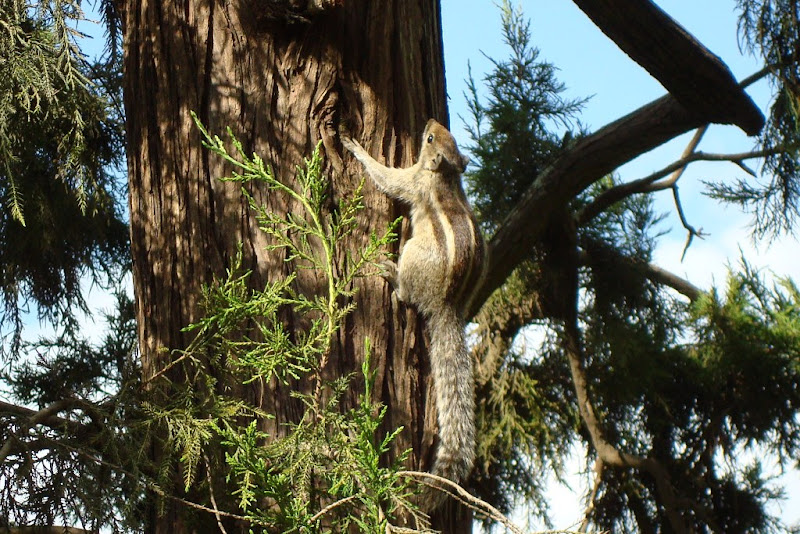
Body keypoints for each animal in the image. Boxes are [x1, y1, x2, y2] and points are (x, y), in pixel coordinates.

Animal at [342, 119, 487, 506]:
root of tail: (447, 305)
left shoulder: (412, 182)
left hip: (413, 255)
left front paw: (354, 147)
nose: (430, 122)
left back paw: (392, 276)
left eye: (431, 139)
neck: (445, 176)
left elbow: (387, 178)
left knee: (407, 293)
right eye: (441, 135)